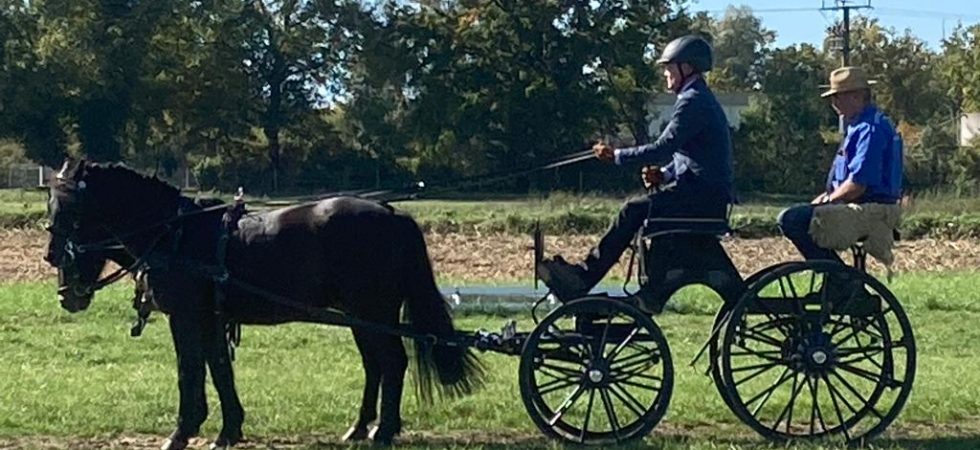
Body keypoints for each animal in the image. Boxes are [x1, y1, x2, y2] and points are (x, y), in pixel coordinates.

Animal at [44, 159, 483, 449]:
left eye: (71, 209)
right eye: (51, 207)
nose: (54, 260)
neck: (176, 233)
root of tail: (393, 214)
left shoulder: (186, 317)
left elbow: (190, 369)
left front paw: (182, 432)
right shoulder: (211, 319)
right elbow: (219, 369)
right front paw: (228, 429)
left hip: (371, 310)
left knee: (392, 363)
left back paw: (384, 432)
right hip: (362, 315)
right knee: (375, 365)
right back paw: (360, 428)